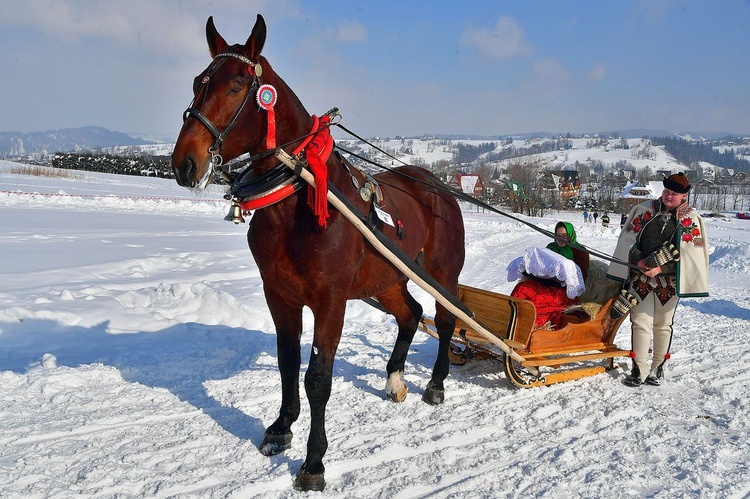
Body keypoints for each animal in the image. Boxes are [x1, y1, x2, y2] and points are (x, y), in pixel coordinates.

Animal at [172, 13, 464, 494]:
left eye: (236, 86)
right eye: (199, 81)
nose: (184, 163)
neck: (298, 197)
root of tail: (439, 187)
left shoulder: (331, 300)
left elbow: (318, 378)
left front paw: (313, 461)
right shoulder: (280, 295)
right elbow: (287, 363)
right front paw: (280, 429)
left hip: (442, 275)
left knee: (444, 319)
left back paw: (436, 384)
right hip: (386, 279)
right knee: (410, 314)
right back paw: (395, 379)